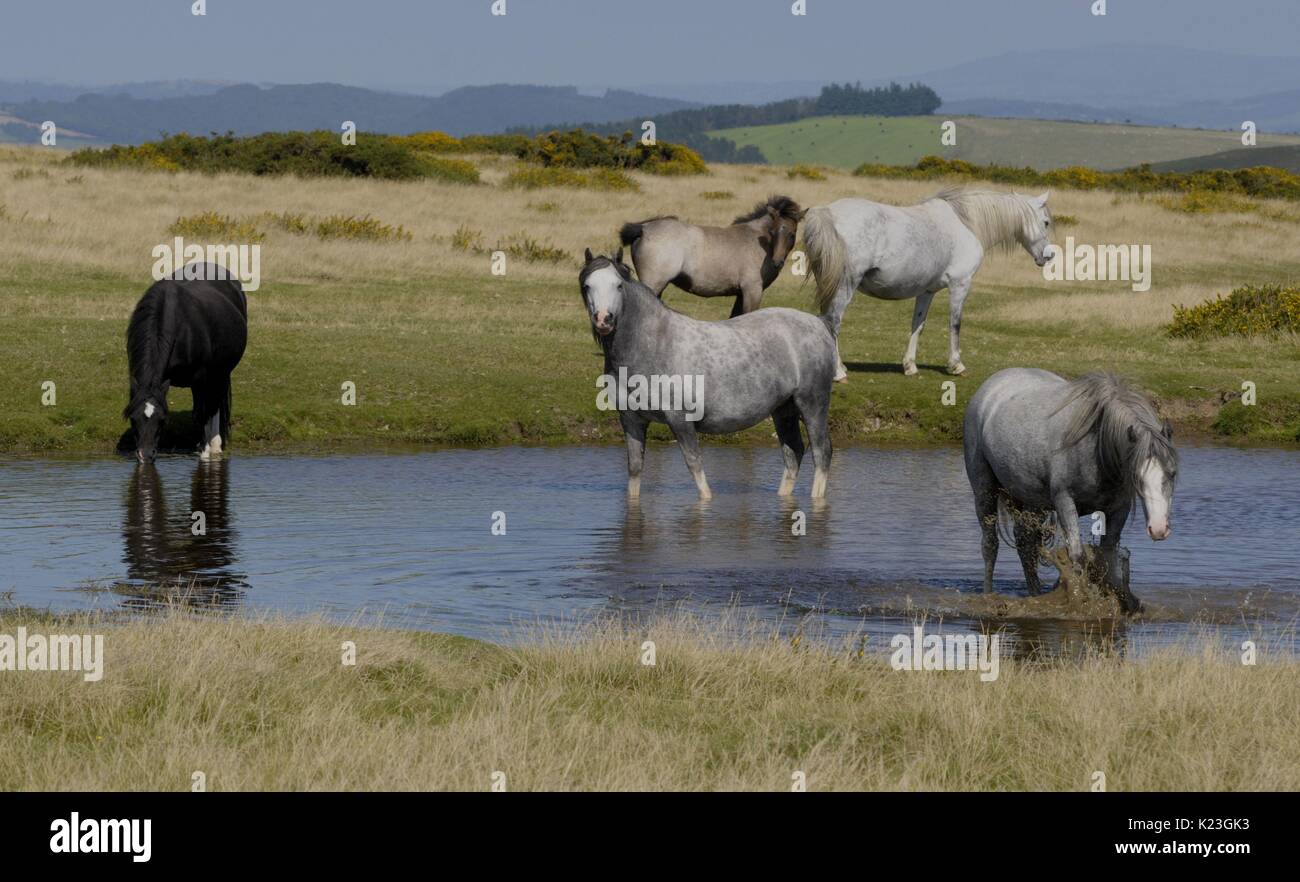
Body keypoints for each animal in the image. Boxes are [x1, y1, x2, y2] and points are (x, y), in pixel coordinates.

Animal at [122, 262, 246, 465]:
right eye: (133, 418)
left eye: (162, 420)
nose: (145, 455)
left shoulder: (202, 378)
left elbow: (203, 414)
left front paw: (205, 452)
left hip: (219, 374)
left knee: (214, 406)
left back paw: (214, 445)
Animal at [582, 248, 842, 502]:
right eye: (587, 285)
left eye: (618, 285)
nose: (604, 319)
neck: (652, 344)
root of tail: (820, 323)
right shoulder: (632, 420)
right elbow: (635, 471)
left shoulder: (680, 420)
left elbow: (695, 468)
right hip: (783, 410)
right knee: (793, 453)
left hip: (812, 404)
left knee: (821, 452)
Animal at [618, 195, 800, 320]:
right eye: (773, 232)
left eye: (792, 234)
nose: (777, 262)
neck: (758, 241)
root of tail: (643, 229)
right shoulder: (752, 290)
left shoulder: (741, 293)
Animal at [806, 188, 1050, 382]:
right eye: (1046, 222)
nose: (1049, 256)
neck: (966, 224)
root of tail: (827, 213)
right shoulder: (960, 284)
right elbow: (955, 324)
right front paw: (956, 365)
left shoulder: (927, 291)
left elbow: (918, 325)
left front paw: (910, 366)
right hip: (845, 286)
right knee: (833, 321)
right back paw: (839, 373)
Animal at [967, 369, 1180, 611]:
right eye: (1137, 476)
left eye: (1172, 473)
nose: (1158, 529)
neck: (1096, 447)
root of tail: (992, 383)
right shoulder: (1064, 502)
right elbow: (1076, 555)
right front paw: (1081, 601)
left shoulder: (1119, 509)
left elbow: (1107, 557)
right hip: (984, 491)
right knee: (990, 544)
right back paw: (988, 595)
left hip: (1033, 501)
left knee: (1025, 541)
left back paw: (1035, 594)